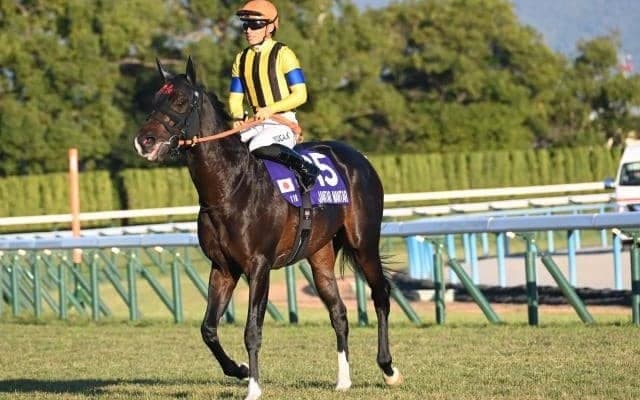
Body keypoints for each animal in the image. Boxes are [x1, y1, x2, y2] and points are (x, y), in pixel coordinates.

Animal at [134, 57, 402, 400]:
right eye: (155, 100)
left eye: (180, 101)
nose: (144, 141)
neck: (230, 188)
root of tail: (359, 159)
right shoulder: (223, 267)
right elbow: (208, 329)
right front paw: (238, 369)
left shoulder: (258, 265)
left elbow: (252, 330)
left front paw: (254, 387)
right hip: (320, 253)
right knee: (339, 312)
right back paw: (343, 380)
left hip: (363, 242)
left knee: (380, 295)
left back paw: (389, 369)